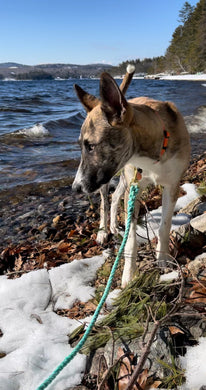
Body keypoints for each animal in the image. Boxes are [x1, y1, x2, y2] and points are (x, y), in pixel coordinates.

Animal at [72, 68, 190, 286]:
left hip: (124, 178)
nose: (76, 188)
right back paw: (104, 230)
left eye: (91, 146)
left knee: (115, 196)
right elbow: (131, 240)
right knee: (105, 201)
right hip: (111, 179)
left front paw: (162, 258)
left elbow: (164, 226)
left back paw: (113, 226)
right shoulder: (133, 189)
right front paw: (128, 276)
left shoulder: (172, 186)